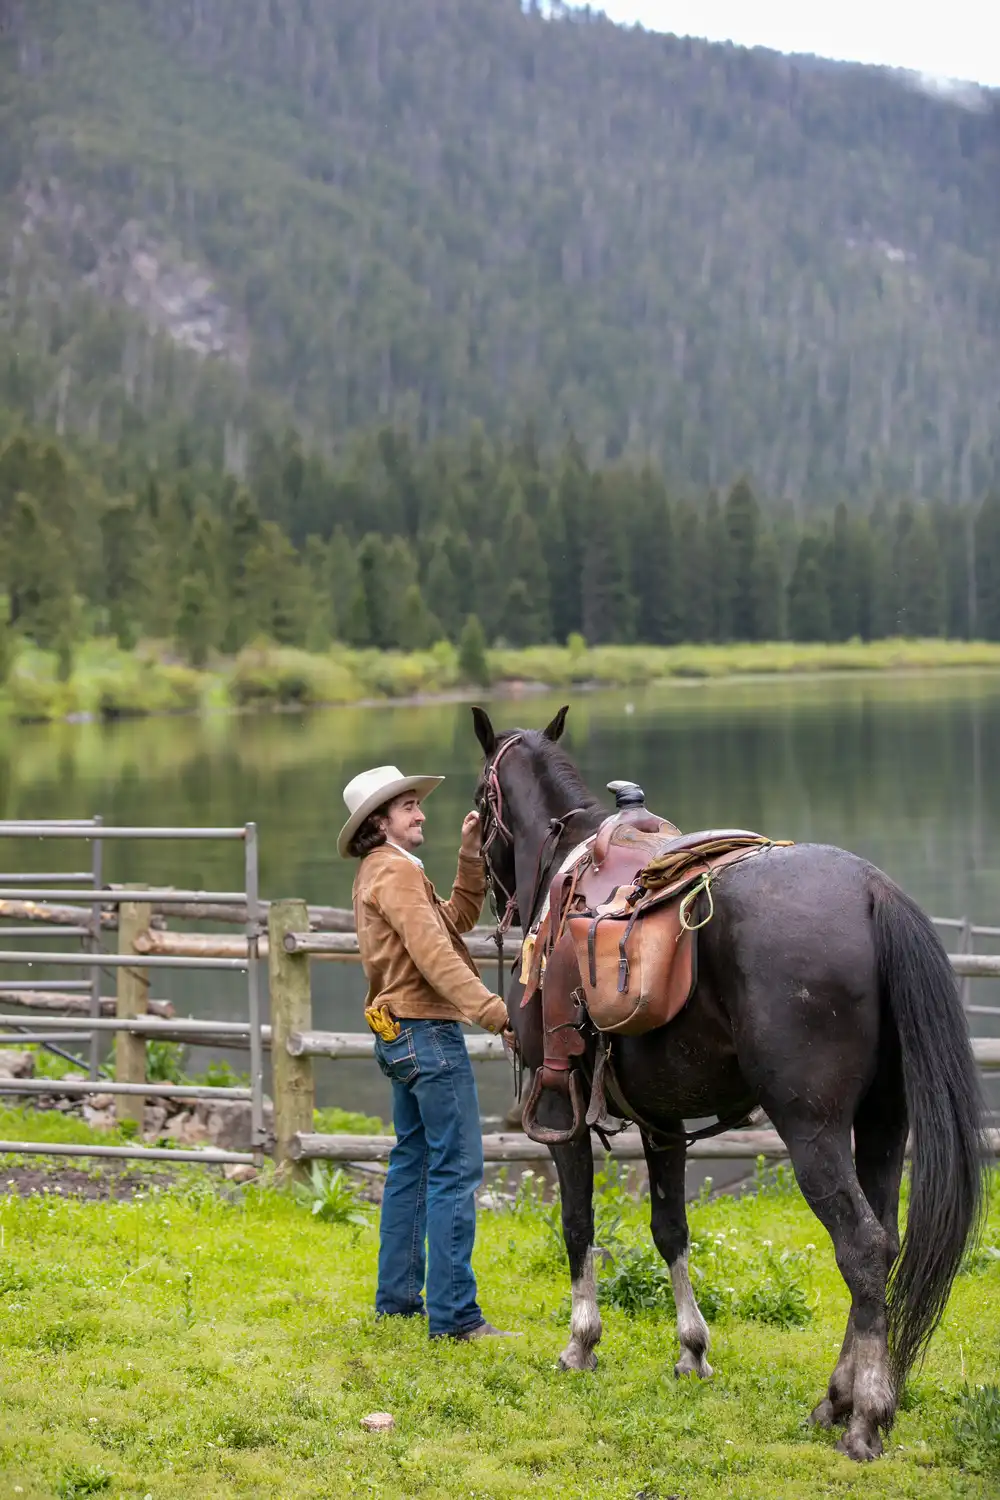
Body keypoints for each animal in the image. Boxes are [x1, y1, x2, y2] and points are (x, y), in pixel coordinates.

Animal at [476, 705, 983, 1464]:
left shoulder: (560, 1105)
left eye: (480, 804)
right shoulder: (661, 1120)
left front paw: (581, 1344)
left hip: (813, 1130)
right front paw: (692, 1350)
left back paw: (864, 1416)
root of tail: (873, 892)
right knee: (885, 1243)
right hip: (884, 1123)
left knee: (862, 1248)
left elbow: (577, 1222)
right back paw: (838, 1399)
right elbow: (669, 1228)